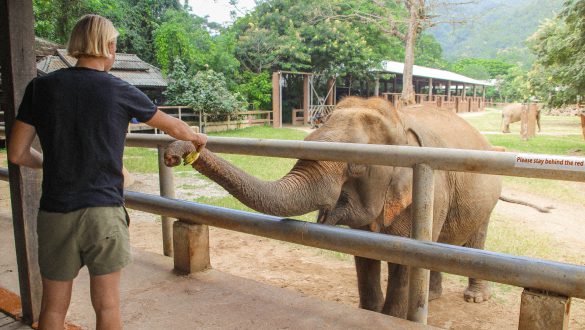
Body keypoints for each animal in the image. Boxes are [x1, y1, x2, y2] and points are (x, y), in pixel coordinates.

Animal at [163, 96, 502, 318]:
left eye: (356, 167)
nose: (177, 152)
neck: (400, 122)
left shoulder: (426, 193)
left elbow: (404, 259)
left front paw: (391, 316)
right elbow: (365, 255)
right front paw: (372, 312)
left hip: (487, 197)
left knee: (475, 239)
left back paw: (473, 299)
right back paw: (431, 296)